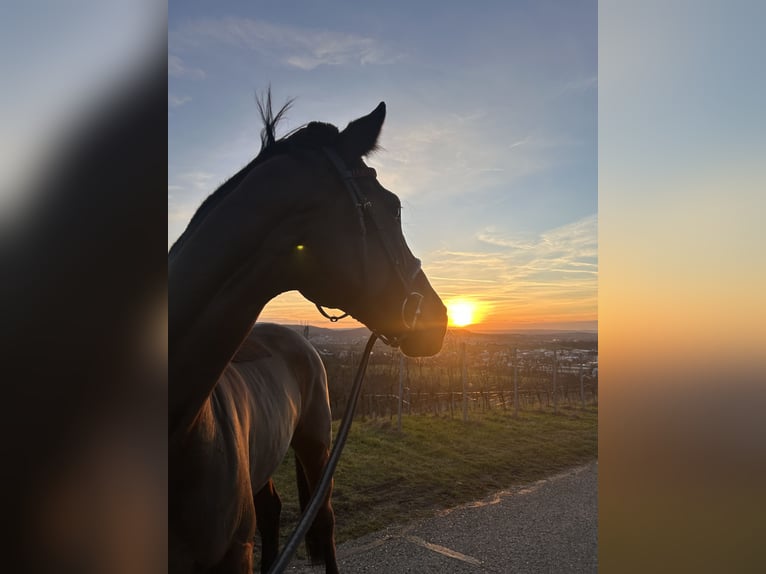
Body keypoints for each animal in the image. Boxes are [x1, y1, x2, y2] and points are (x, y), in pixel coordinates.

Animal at [169, 93, 448, 573]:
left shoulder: (233, 553)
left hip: (316, 445)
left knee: (324, 522)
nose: (440, 316)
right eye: (393, 206)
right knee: (274, 512)